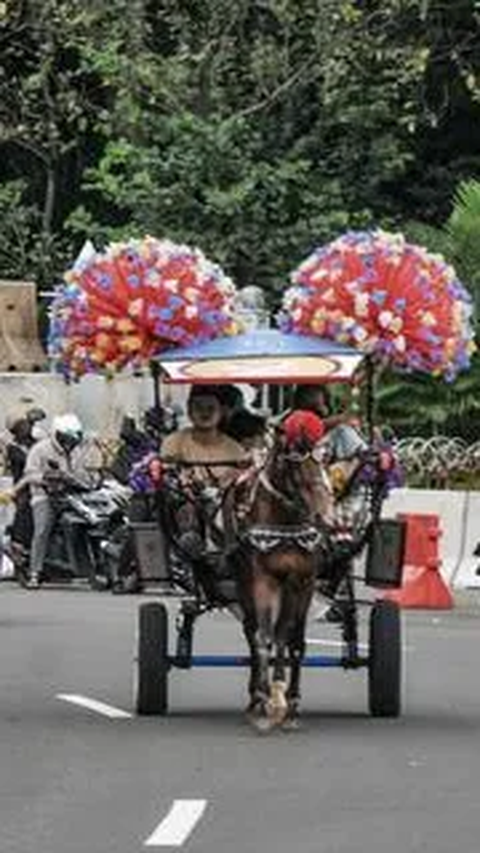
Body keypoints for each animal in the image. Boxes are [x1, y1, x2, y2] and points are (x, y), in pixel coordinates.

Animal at [233, 422, 332, 728]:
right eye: (295, 463)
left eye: (324, 460)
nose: (323, 514)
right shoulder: (262, 579)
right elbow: (265, 637)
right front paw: (267, 696)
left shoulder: (300, 581)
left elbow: (288, 638)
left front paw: (285, 699)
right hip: (244, 582)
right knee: (252, 632)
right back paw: (255, 696)